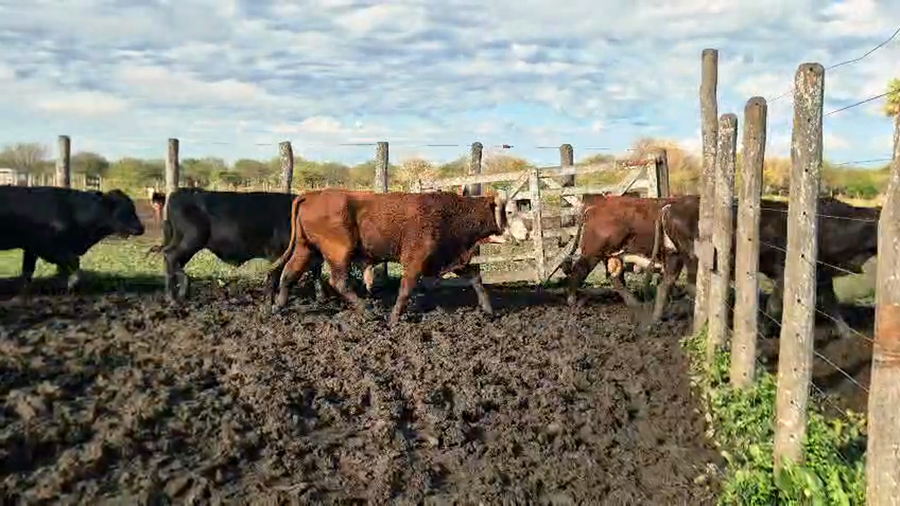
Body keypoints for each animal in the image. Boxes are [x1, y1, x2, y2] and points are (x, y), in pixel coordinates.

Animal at [0, 186, 145, 295]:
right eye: (126, 210)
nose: (141, 228)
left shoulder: (31, 248)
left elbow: (28, 270)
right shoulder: (47, 248)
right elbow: (74, 262)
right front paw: (73, 285)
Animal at [267, 188, 528, 326]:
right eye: (509, 211)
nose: (526, 233)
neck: (449, 215)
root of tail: (312, 195)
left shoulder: (448, 258)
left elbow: (475, 278)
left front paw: (488, 309)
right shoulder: (414, 261)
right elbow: (405, 290)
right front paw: (393, 318)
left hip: (306, 248)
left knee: (288, 274)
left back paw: (278, 306)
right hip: (338, 252)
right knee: (338, 282)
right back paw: (367, 311)